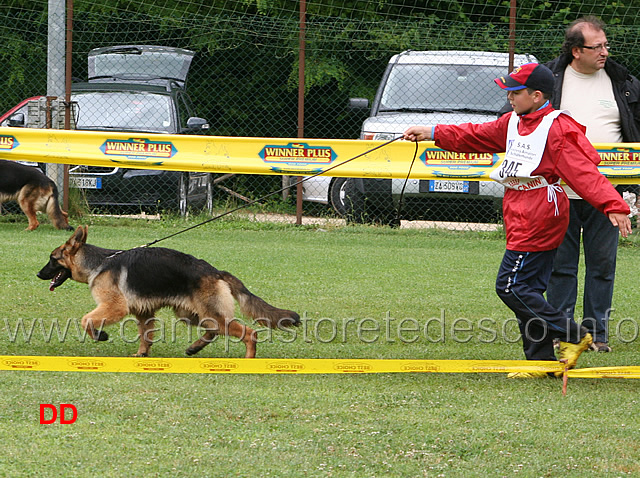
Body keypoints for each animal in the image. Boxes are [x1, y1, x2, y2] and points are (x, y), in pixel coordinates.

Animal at [36, 226, 302, 356]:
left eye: (52, 259)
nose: (38, 274)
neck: (99, 263)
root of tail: (215, 271)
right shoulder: (143, 312)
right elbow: (145, 336)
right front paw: (142, 355)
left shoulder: (114, 307)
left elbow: (85, 320)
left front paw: (99, 335)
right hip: (192, 314)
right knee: (214, 331)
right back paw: (194, 348)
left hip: (210, 314)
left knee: (248, 333)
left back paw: (248, 360)